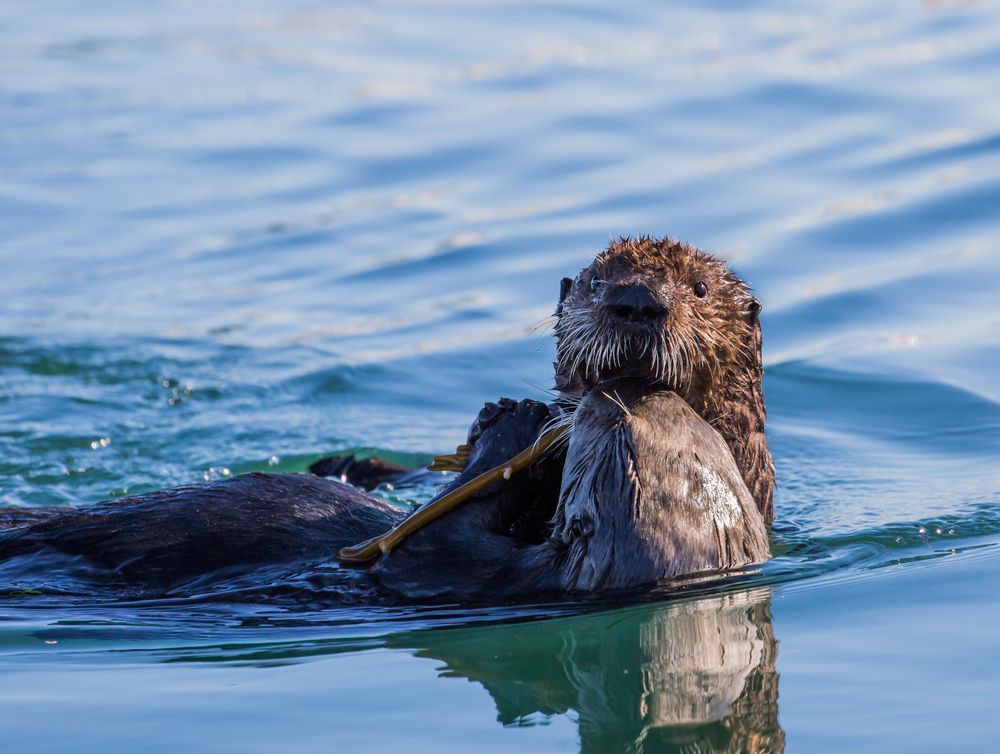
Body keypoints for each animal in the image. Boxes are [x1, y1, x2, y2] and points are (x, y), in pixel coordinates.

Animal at [0, 236, 773, 600]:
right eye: (594, 281)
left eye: (698, 289)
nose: (635, 301)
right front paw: (506, 417)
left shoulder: (460, 569)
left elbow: (431, 538)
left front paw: (515, 424)